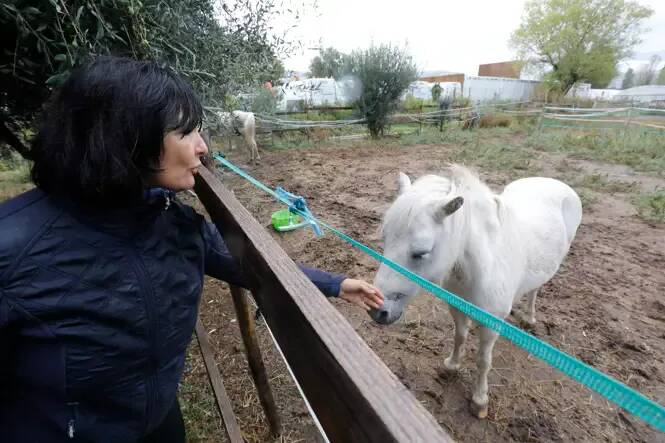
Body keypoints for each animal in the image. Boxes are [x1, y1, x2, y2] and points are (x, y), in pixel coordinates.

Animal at [370, 164, 582, 418]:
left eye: (421, 252)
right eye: (385, 239)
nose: (378, 310)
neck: (482, 268)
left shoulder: (490, 325)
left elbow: (483, 360)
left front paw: (480, 400)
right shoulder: (456, 307)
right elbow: (460, 336)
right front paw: (451, 366)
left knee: (535, 290)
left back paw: (529, 318)